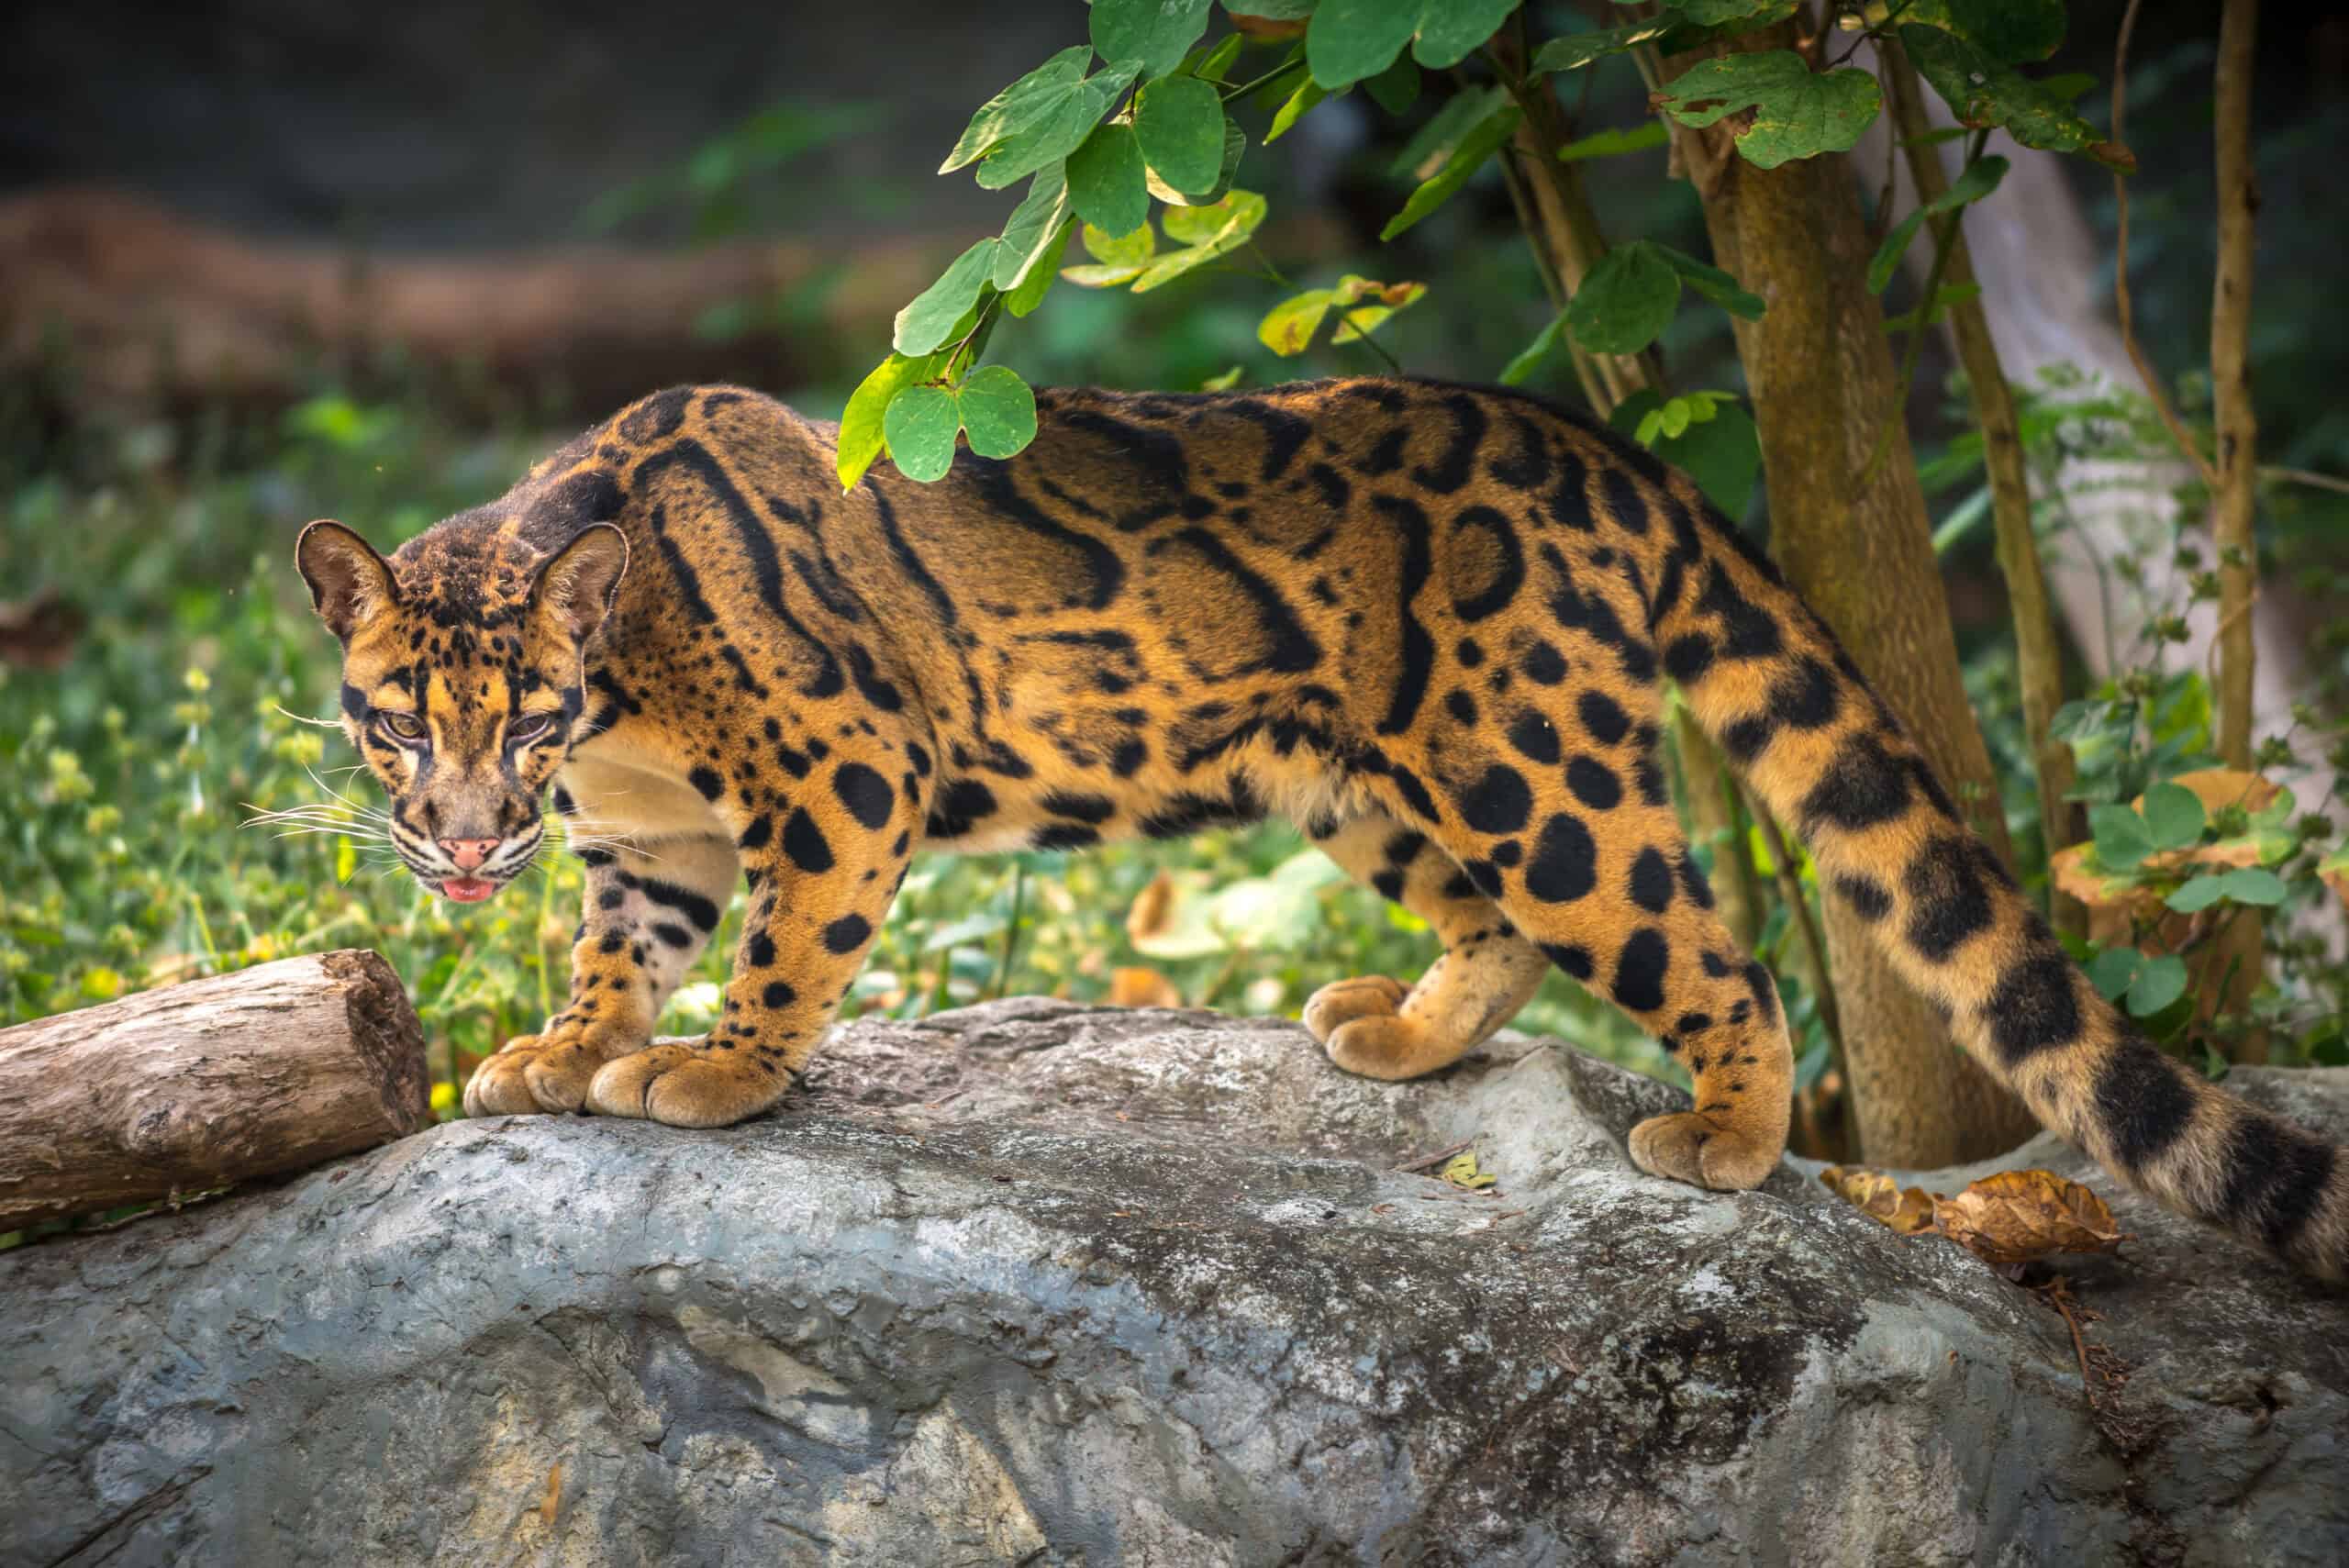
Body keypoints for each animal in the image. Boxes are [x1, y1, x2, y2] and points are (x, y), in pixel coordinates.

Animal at [298, 375, 2349, 1276]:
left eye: (523, 713)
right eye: (394, 715)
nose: (461, 841)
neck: (622, 696)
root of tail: (1590, 439)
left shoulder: (844, 766)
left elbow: (782, 947)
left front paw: (715, 1072)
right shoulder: (647, 835)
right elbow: (614, 938)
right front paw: (558, 1044)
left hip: (1536, 764)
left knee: (1715, 943)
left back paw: (1729, 1130)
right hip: (1359, 768)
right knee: (1497, 923)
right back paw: (1407, 1029)